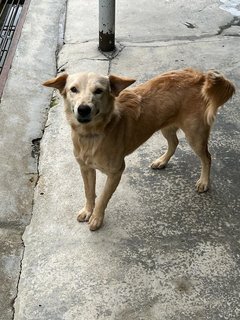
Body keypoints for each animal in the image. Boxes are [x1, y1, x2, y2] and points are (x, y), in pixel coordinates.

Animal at [43, 68, 234, 230]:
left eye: (98, 91)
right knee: (174, 143)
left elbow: (103, 197)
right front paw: (88, 211)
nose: (83, 109)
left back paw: (204, 182)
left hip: (195, 136)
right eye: (73, 89)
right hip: (166, 126)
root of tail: (199, 75)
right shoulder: (85, 168)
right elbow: (89, 192)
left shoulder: (116, 171)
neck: (92, 135)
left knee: (207, 157)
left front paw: (96, 218)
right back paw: (162, 161)